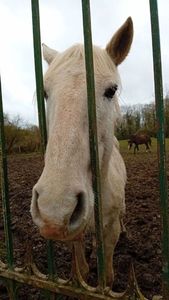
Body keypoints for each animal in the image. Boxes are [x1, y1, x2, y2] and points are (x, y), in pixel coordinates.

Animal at [30, 17, 133, 288]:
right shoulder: (73, 230)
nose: (54, 207)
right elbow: (82, 270)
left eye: (111, 90)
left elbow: (106, 276)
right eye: (45, 93)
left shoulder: (110, 230)